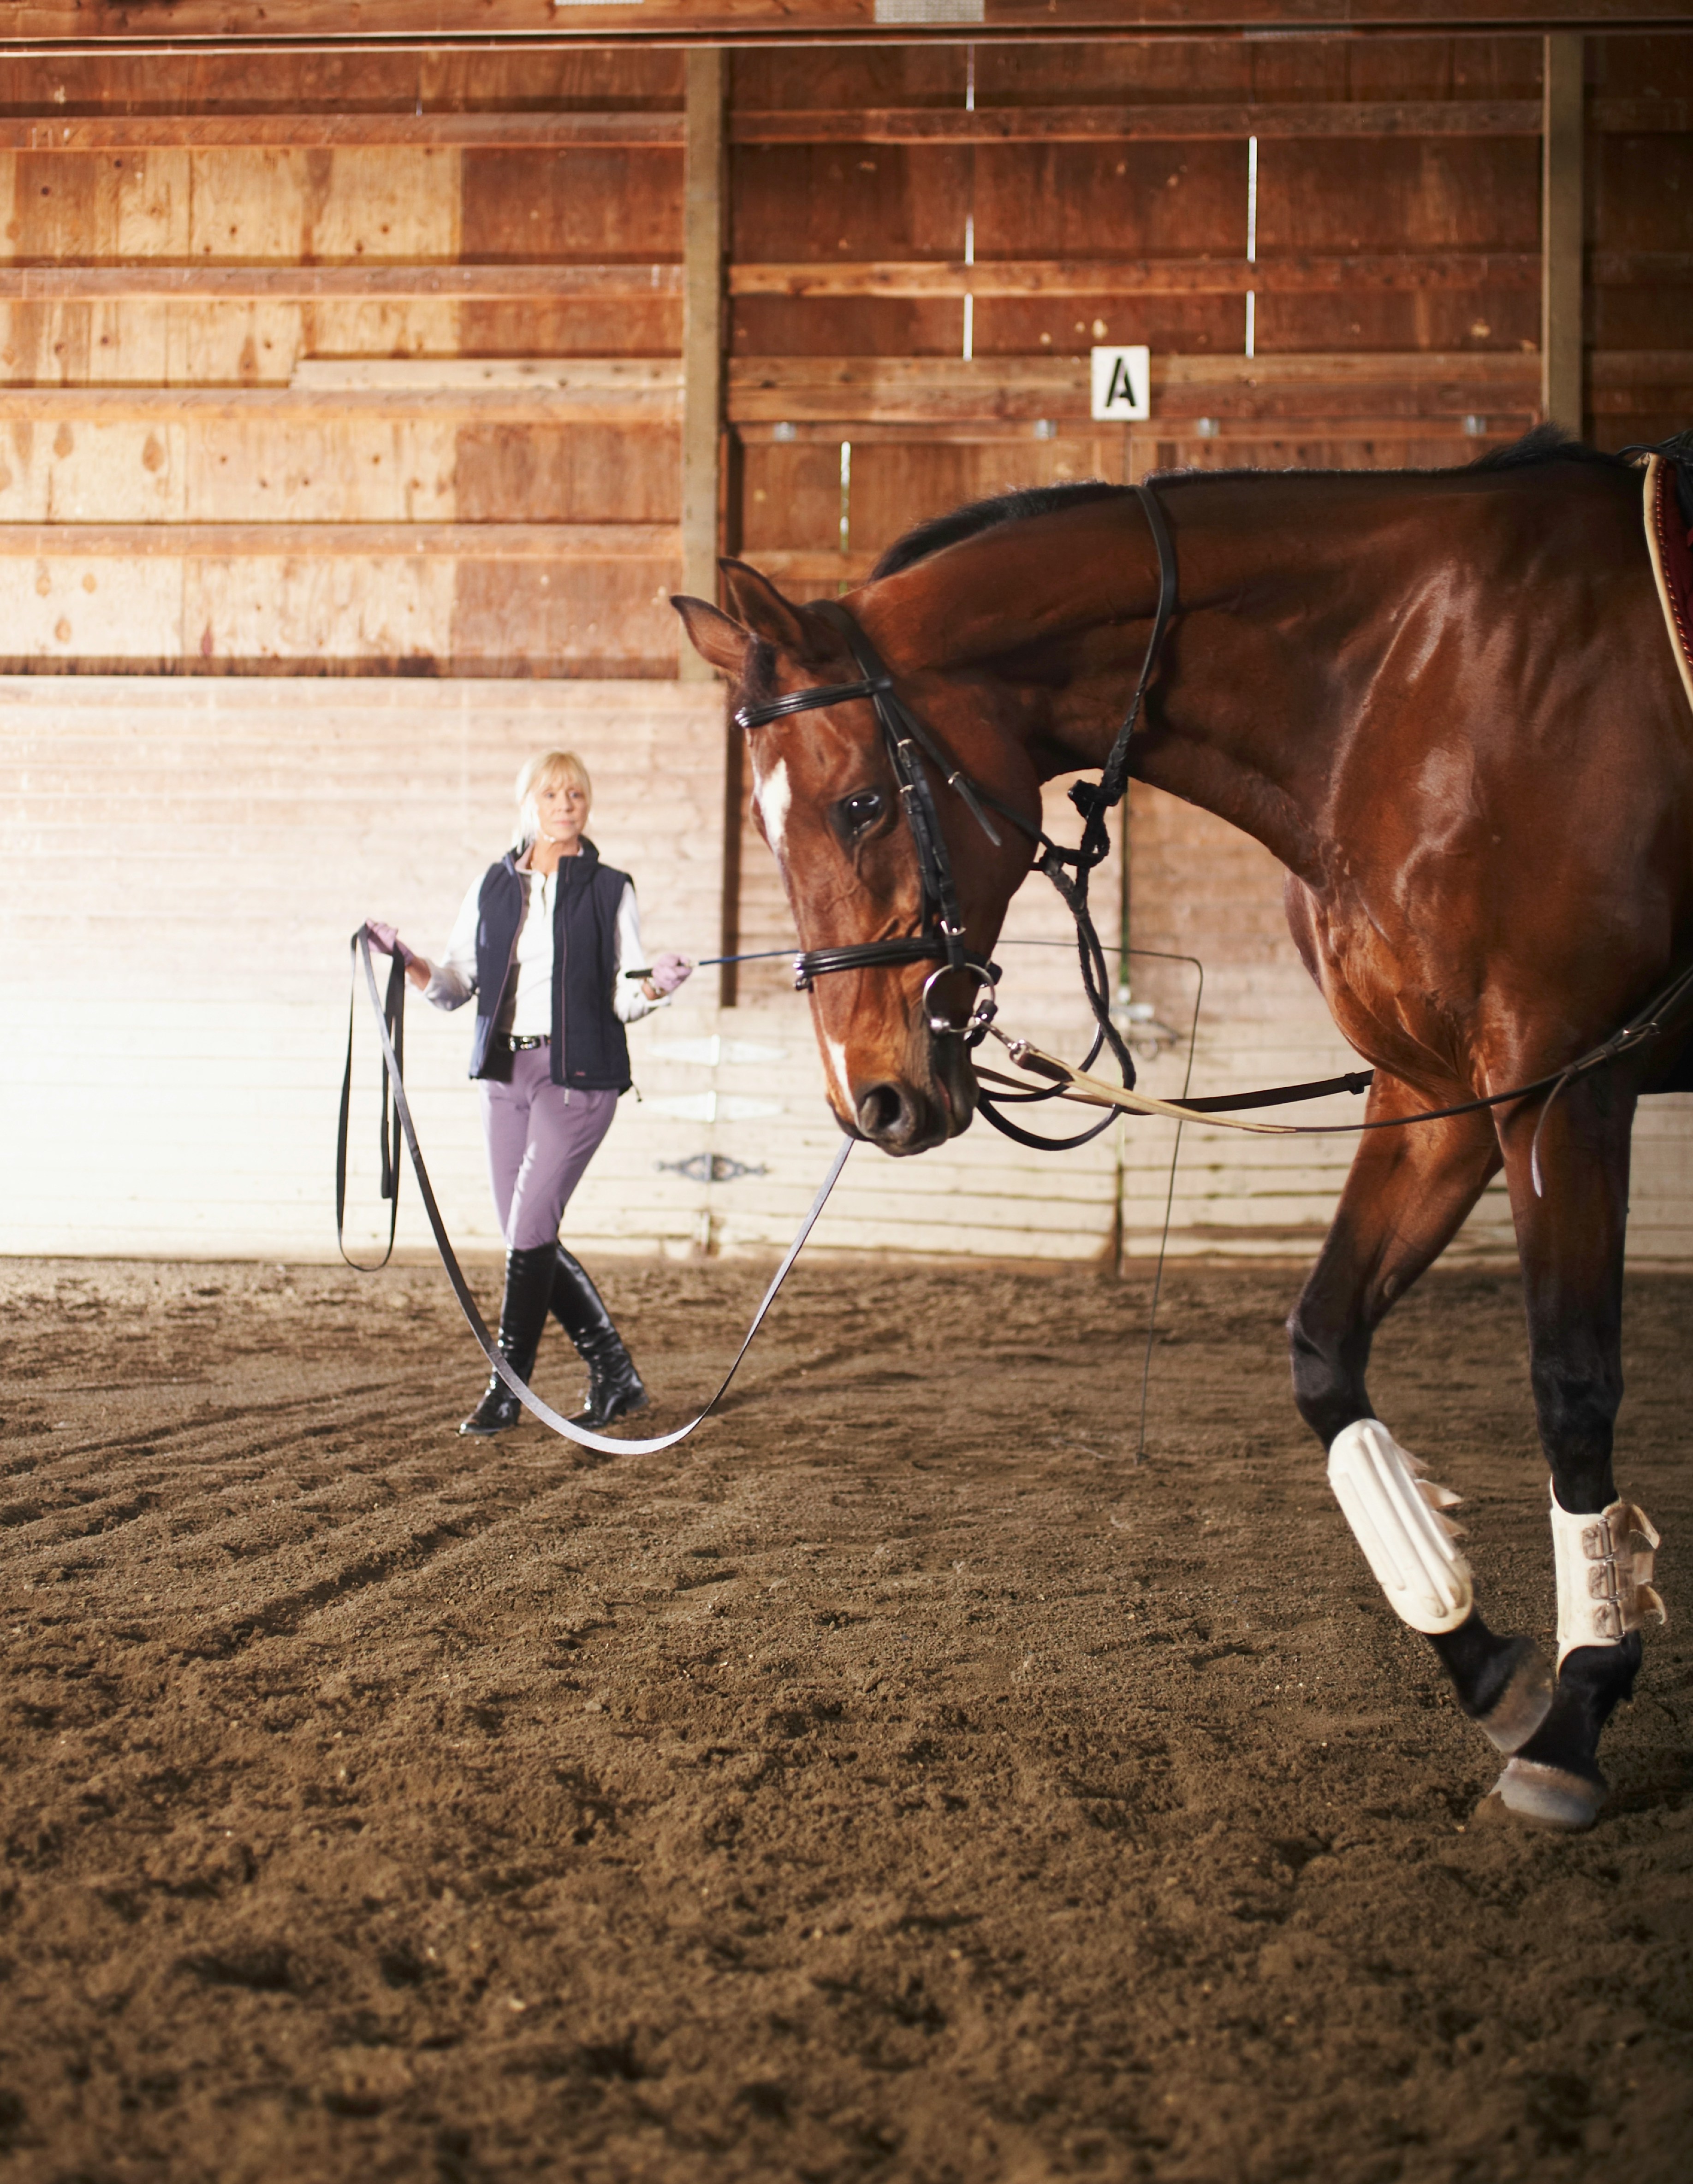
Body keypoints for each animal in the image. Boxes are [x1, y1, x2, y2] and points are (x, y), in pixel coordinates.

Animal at [672, 430, 1687, 1832]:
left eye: (864, 806)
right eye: (767, 825)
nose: (867, 1098)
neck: (1412, 683)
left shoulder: (1556, 1082)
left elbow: (1571, 1383)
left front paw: (1578, 1711)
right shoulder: (1430, 1090)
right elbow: (1320, 1349)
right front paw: (1481, 1654)